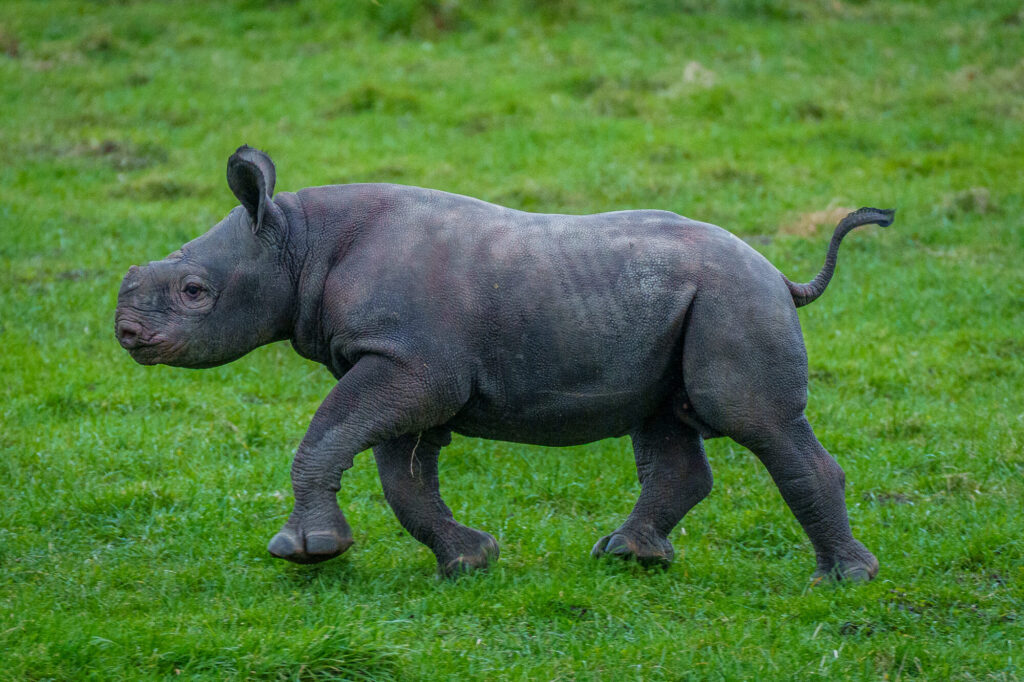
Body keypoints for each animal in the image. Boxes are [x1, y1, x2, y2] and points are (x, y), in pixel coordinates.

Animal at [115, 145, 892, 581]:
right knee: (664, 426)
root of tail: (779, 273)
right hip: (686, 304)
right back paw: (628, 558)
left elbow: (330, 435)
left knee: (758, 422)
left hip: (736, 297)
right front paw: (469, 562)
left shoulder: (410, 362)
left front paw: (306, 552)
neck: (295, 239)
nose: (126, 332)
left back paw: (841, 583)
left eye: (194, 292)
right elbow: (401, 476)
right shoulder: (406, 364)